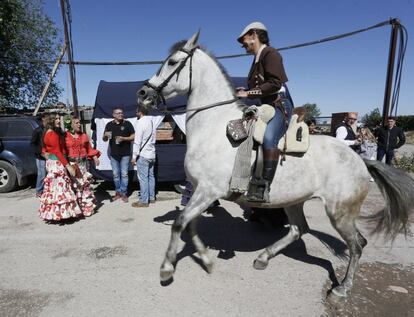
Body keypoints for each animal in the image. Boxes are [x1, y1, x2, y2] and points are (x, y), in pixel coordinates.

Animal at [139, 31, 414, 296]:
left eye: (172, 62)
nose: (143, 93)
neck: (214, 127)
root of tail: (361, 160)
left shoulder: (208, 191)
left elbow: (180, 223)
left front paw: (167, 268)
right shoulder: (198, 191)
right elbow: (190, 225)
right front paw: (206, 259)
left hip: (341, 214)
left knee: (357, 244)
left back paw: (342, 289)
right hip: (295, 202)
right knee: (298, 229)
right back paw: (263, 257)